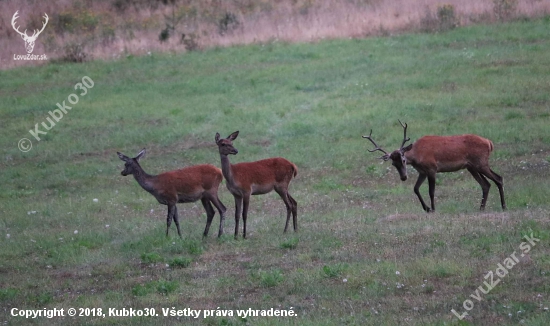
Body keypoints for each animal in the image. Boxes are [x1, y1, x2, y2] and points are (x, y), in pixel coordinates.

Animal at [364, 121, 506, 213]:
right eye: (393, 164)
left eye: (403, 160)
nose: (403, 177)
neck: (417, 155)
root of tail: (489, 143)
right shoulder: (422, 172)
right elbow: (415, 188)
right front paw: (426, 208)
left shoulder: (432, 168)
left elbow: (431, 191)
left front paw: (433, 208)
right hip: (472, 167)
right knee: (486, 184)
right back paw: (481, 208)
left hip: (481, 163)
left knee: (498, 178)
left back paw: (503, 206)